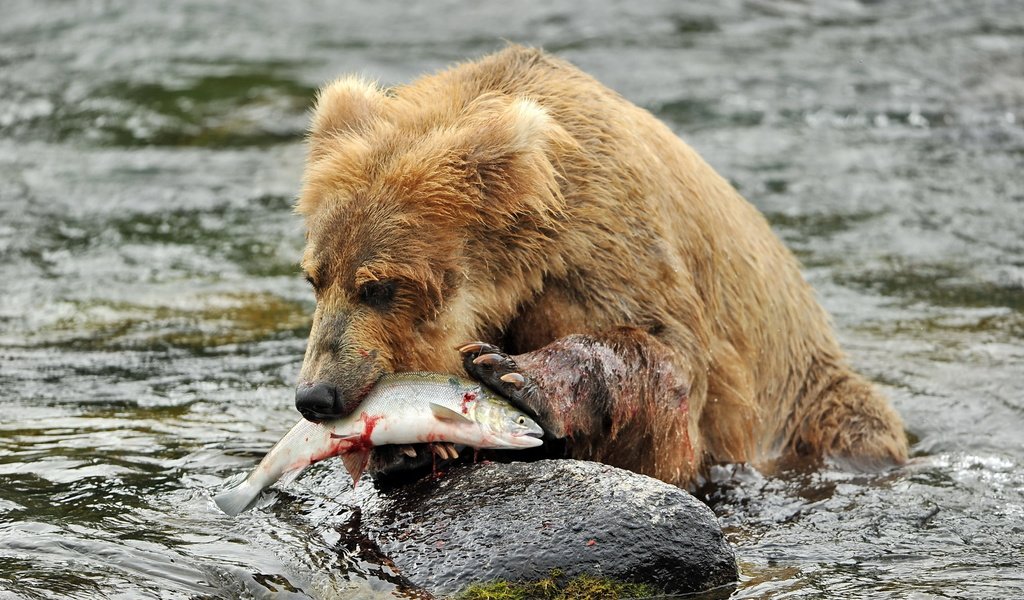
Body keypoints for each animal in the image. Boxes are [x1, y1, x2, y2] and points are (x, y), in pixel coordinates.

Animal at [292, 45, 909, 485]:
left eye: (380, 286)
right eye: (316, 278)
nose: (316, 396)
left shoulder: (609, 242)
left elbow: (666, 362)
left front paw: (512, 372)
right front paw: (409, 447)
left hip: (810, 398)